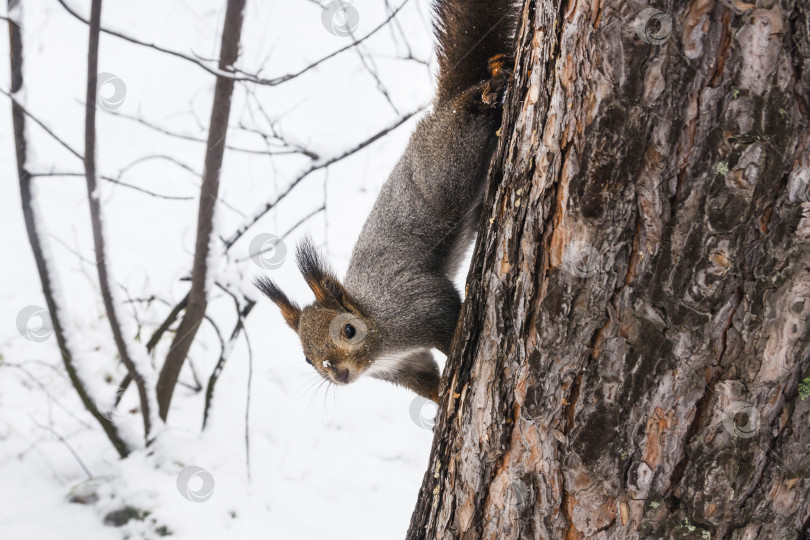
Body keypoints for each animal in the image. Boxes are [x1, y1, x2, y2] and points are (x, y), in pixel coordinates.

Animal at [256, 0, 516, 402]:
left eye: (348, 330)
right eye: (307, 359)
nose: (339, 375)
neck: (380, 336)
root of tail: (439, 112)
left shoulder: (417, 306)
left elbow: (447, 314)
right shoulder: (405, 366)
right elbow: (427, 383)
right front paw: (442, 399)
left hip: (454, 153)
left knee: (470, 108)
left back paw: (490, 87)